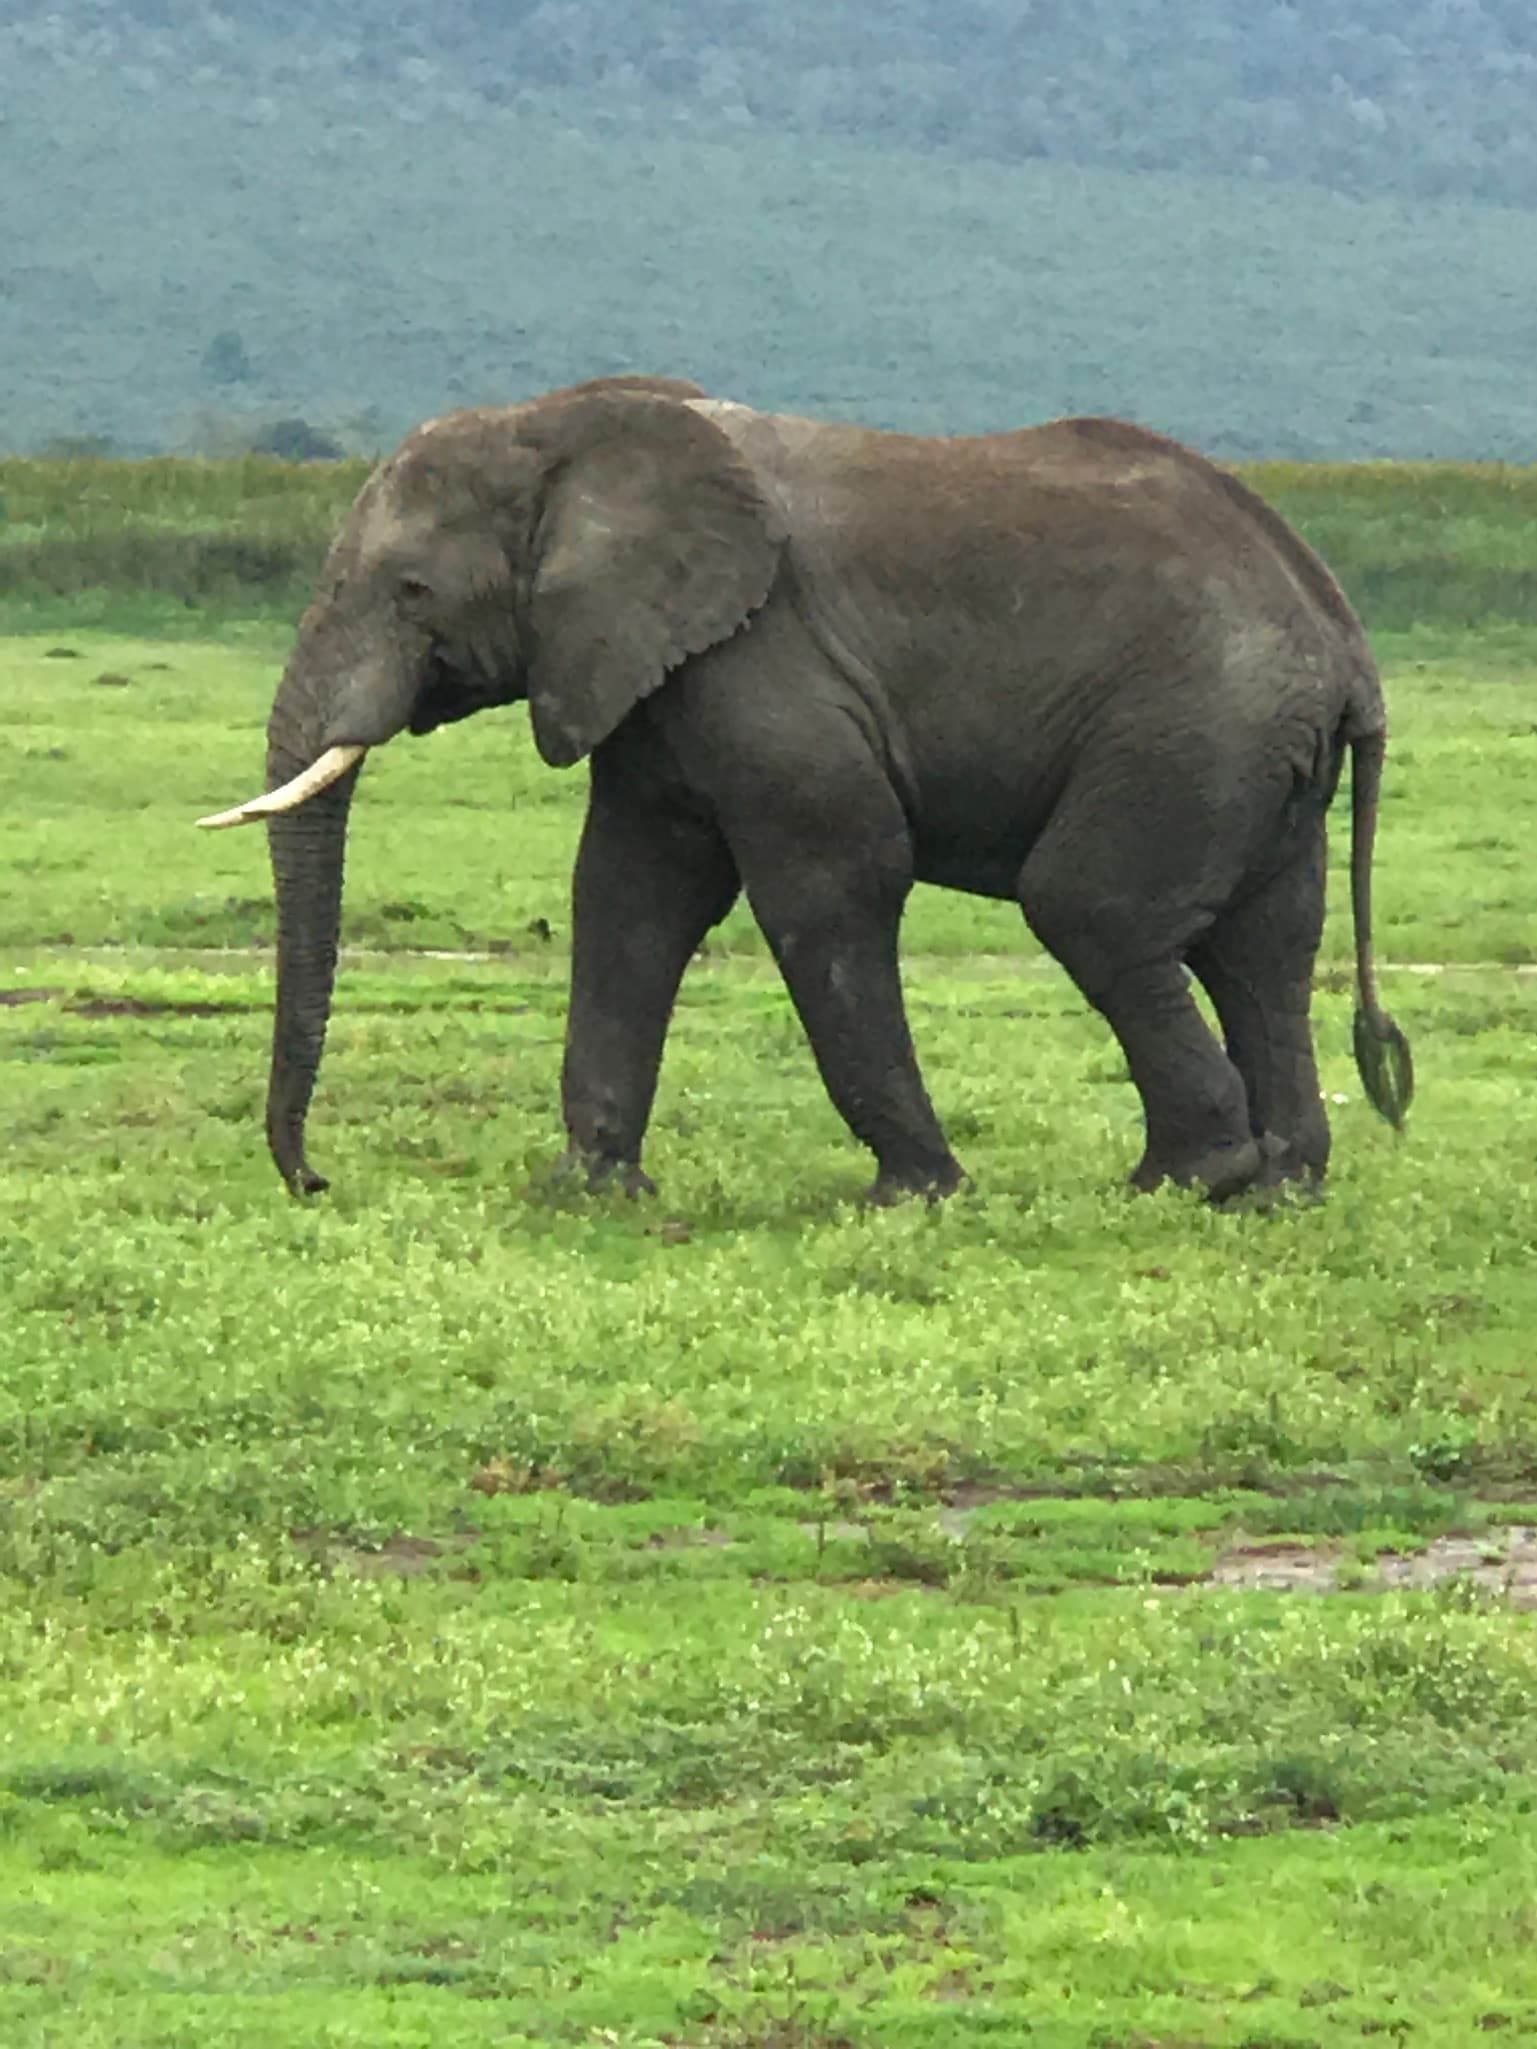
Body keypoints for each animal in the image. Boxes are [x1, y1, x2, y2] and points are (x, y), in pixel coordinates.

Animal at [199, 371, 1412, 1205]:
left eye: (411, 591)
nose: (316, 1183)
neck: (564, 426)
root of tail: (1346, 644)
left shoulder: (762, 656)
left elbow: (828, 886)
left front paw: (914, 1196)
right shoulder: (653, 675)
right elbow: (630, 895)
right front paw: (590, 1194)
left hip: (1191, 726)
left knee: (1092, 910)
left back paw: (1189, 1179)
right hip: (1257, 756)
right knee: (1261, 944)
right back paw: (1279, 1185)